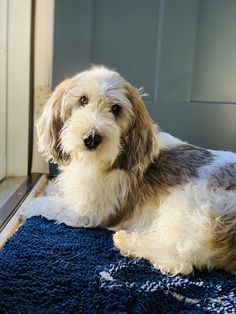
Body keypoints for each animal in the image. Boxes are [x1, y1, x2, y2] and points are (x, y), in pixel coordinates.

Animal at [24, 65, 236, 274]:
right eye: (83, 100)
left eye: (115, 109)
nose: (91, 138)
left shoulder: (88, 211)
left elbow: (46, 205)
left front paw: (30, 206)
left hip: (187, 205)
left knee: (178, 262)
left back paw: (127, 241)